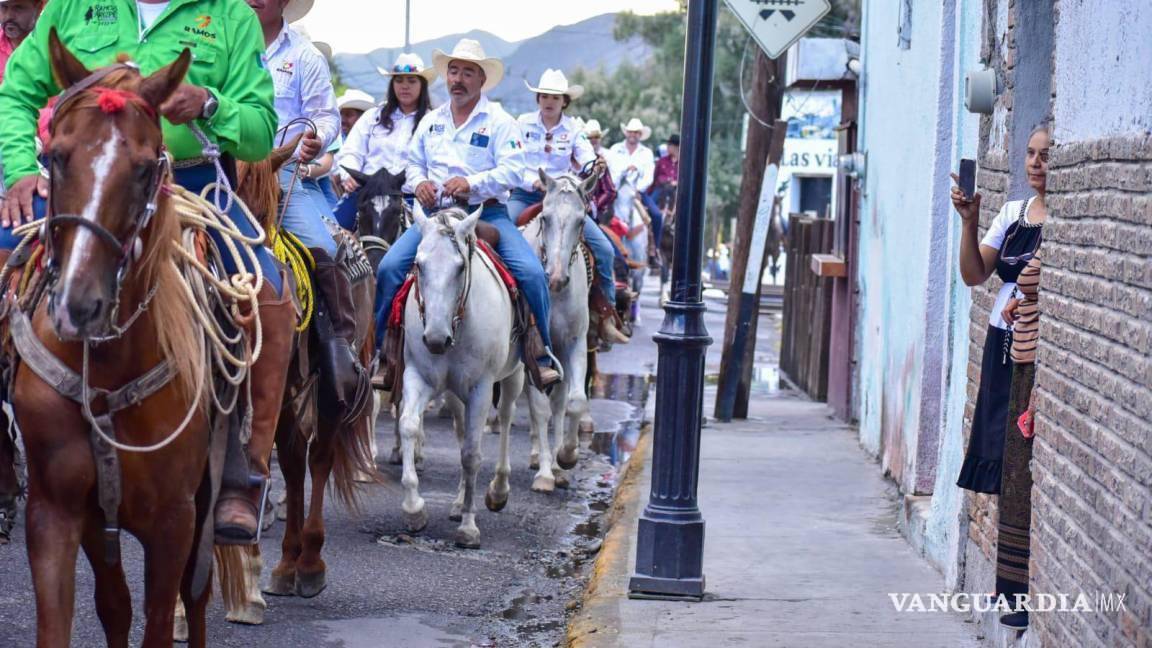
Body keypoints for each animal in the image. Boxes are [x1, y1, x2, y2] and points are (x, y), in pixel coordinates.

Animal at [396, 201, 523, 544]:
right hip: (454, 393)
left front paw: (468, 525)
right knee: (463, 430)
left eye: (460, 267)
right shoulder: (419, 376)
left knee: (505, 417)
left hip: (514, 376)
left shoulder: (482, 387)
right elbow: (409, 425)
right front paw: (413, 509)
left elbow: (472, 454)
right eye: (418, 264)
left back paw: (498, 491)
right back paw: (455, 502)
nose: (435, 339)